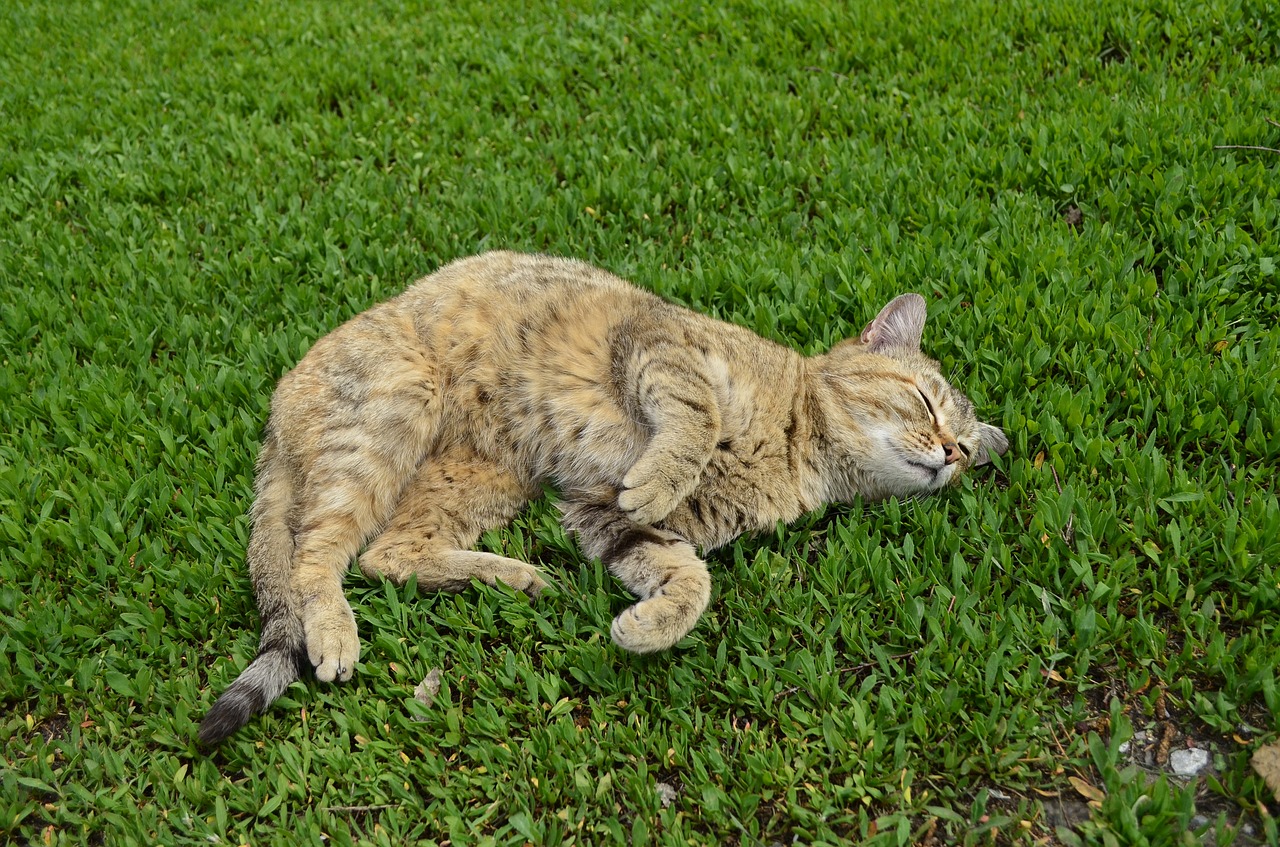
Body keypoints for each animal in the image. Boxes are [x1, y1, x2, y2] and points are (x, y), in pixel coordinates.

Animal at [197, 250, 1008, 742]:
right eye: (924, 402)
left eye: (969, 449)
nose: (950, 456)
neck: (799, 454)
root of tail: (279, 405)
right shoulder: (659, 345)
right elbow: (693, 418)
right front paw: (666, 472)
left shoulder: (595, 510)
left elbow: (689, 579)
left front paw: (647, 628)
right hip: (393, 415)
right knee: (316, 553)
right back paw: (334, 628)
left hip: (491, 478)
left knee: (389, 553)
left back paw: (519, 578)